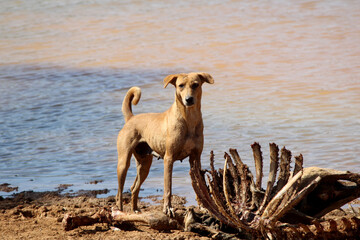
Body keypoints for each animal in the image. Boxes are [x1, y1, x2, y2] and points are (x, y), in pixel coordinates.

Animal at [116, 71, 214, 216]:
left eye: (195, 85)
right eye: (180, 85)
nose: (189, 99)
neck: (188, 119)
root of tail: (131, 118)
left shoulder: (195, 158)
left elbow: (198, 185)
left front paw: (202, 207)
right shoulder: (169, 158)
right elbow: (168, 188)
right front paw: (167, 209)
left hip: (144, 164)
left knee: (134, 187)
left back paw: (135, 209)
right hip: (123, 162)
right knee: (119, 192)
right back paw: (120, 211)